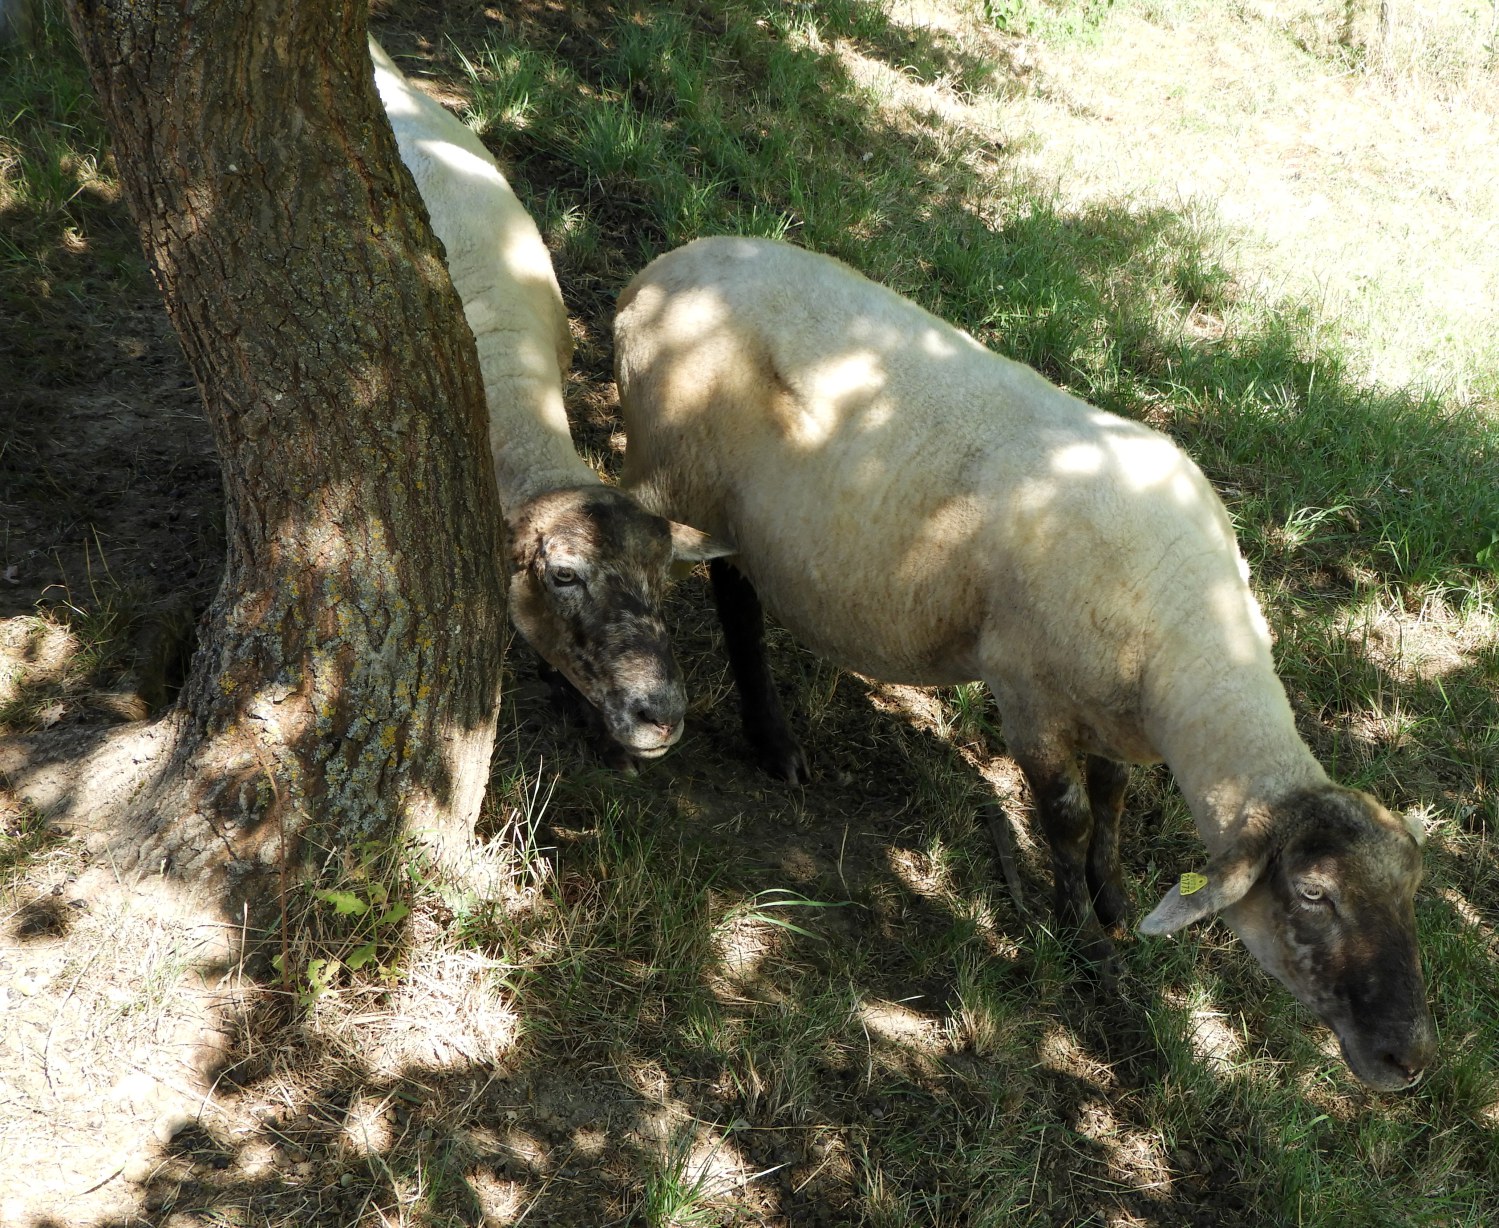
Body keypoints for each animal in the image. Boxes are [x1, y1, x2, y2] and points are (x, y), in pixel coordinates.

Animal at [611, 235, 1439, 1091]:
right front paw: (1081, 943)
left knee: (736, 587)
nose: (1409, 1058)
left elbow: (1111, 798)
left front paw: (1114, 903)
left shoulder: (1110, 711)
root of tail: (662, 269)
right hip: (670, 469)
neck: (1188, 636)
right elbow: (1067, 818)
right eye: (1313, 896)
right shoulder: (1028, 696)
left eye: (1413, 889)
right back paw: (746, 739)